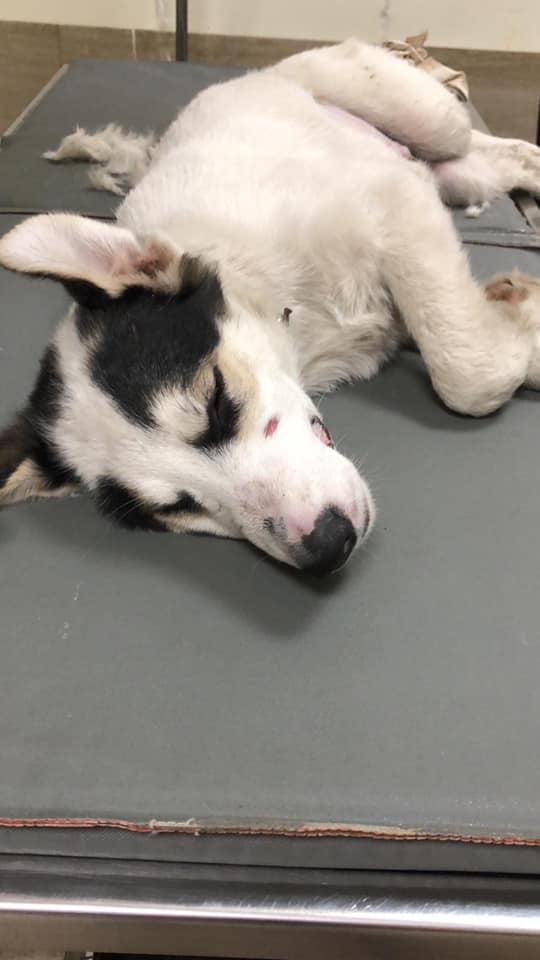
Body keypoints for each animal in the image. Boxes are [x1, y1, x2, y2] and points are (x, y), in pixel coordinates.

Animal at [1, 39, 540, 574]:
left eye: (217, 401)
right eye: (176, 508)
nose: (328, 546)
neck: (292, 319)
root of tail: (258, 73)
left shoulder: (395, 206)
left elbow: (468, 376)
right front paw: (520, 316)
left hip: (421, 115)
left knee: (469, 139)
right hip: (456, 171)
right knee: (502, 161)